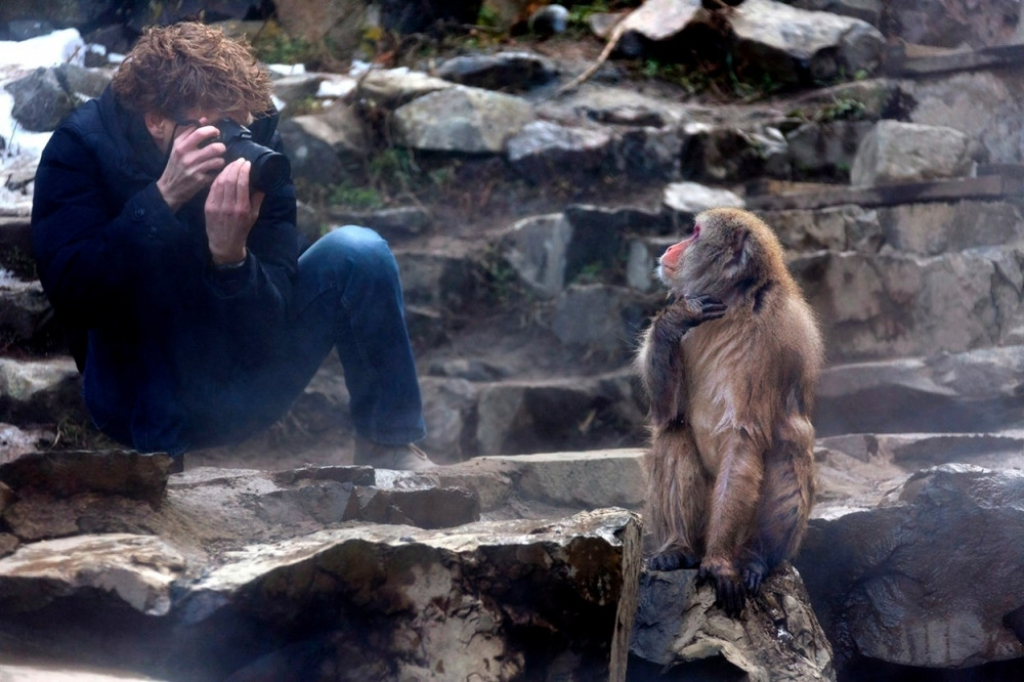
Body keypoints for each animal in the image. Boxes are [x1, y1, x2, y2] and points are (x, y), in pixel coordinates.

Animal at [630, 204, 823, 614]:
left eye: (694, 233)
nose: (670, 247)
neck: (734, 303)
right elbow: (667, 412)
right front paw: (673, 319)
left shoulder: (770, 340)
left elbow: (744, 437)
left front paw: (719, 563)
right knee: (673, 434)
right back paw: (678, 549)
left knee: (791, 443)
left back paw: (755, 558)